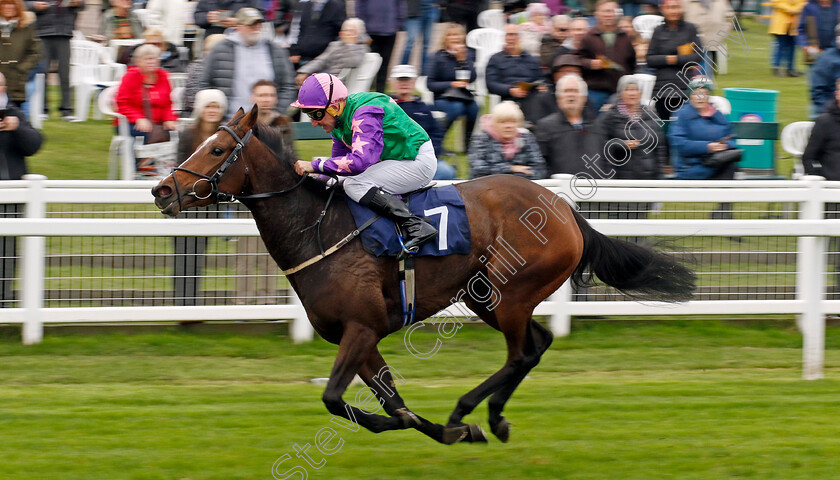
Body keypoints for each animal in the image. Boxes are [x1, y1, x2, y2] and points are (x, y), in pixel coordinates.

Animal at [153, 107, 696, 444]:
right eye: (202, 142)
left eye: (217, 151)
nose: (161, 190)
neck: (317, 229)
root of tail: (565, 209)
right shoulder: (361, 338)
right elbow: (392, 405)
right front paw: (447, 431)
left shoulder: (361, 328)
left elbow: (338, 399)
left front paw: (451, 426)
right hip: (486, 297)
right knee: (536, 345)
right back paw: (491, 418)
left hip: (510, 295)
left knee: (521, 352)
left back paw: (467, 409)